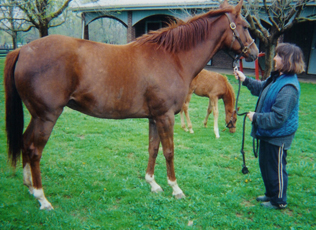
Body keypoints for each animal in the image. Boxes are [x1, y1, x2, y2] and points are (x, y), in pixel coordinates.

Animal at [4, 0, 256, 209]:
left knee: (25, 142)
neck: (172, 58)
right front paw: (175, 189)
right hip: (46, 116)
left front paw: (153, 184)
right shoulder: (166, 116)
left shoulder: (155, 117)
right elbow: (169, 151)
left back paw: (29, 187)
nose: (254, 52)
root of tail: (23, 49)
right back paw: (42, 198)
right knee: (34, 150)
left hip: (37, 115)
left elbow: (153, 149)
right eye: (244, 26)